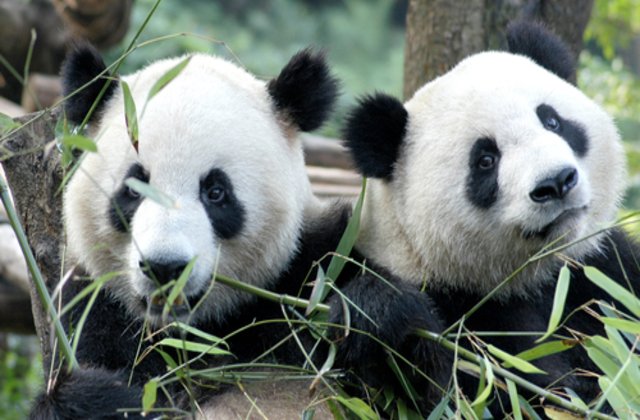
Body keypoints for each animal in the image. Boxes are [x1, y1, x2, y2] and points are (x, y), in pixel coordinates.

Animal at [31, 44, 349, 419]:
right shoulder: (95, 311)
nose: (165, 267)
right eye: (134, 189)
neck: (194, 333)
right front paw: (100, 396)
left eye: (216, 192)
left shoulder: (309, 267)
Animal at [337, 21, 640, 414]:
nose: (556, 182)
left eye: (553, 121)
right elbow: (485, 390)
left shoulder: (600, 271)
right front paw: (381, 311)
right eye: (485, 160)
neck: (531, 279)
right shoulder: (463, 311)